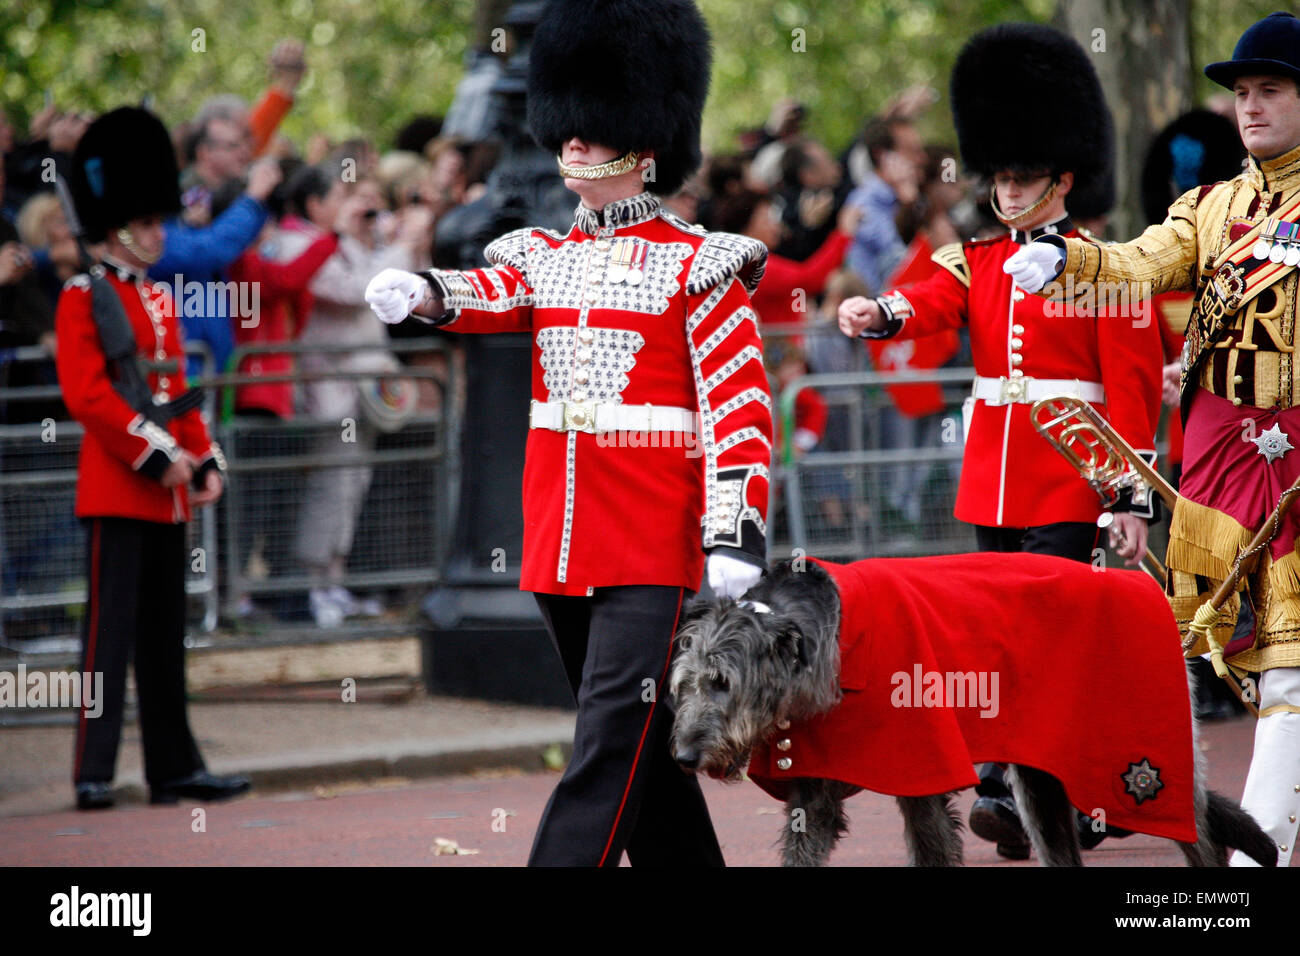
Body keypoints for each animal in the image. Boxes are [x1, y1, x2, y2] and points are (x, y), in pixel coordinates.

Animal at [670, 561, 1279, 868]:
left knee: (1196, 831)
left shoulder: (923, 770)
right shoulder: (814, 794)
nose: (682, 757)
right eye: (685, 684)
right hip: (1047, 772)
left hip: (1133, 752)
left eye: (722, 683)